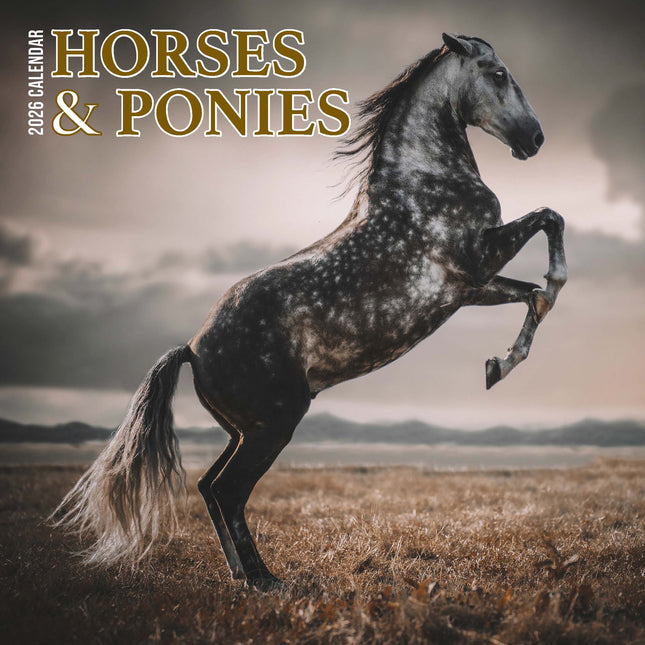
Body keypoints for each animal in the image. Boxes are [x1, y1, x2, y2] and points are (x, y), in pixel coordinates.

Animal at [53, 33, 567, 590]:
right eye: (497, 73)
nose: (535, 138)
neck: (423, 181)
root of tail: (192, 349)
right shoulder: (476, 259)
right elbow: (550, 222)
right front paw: (532, 314)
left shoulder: (467, 288)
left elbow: (533, 295)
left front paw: (498, 366)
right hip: (275, 425)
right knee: (228, 490)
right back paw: (266, 581)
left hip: (245, 430)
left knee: (209, 486)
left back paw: (241, 574)